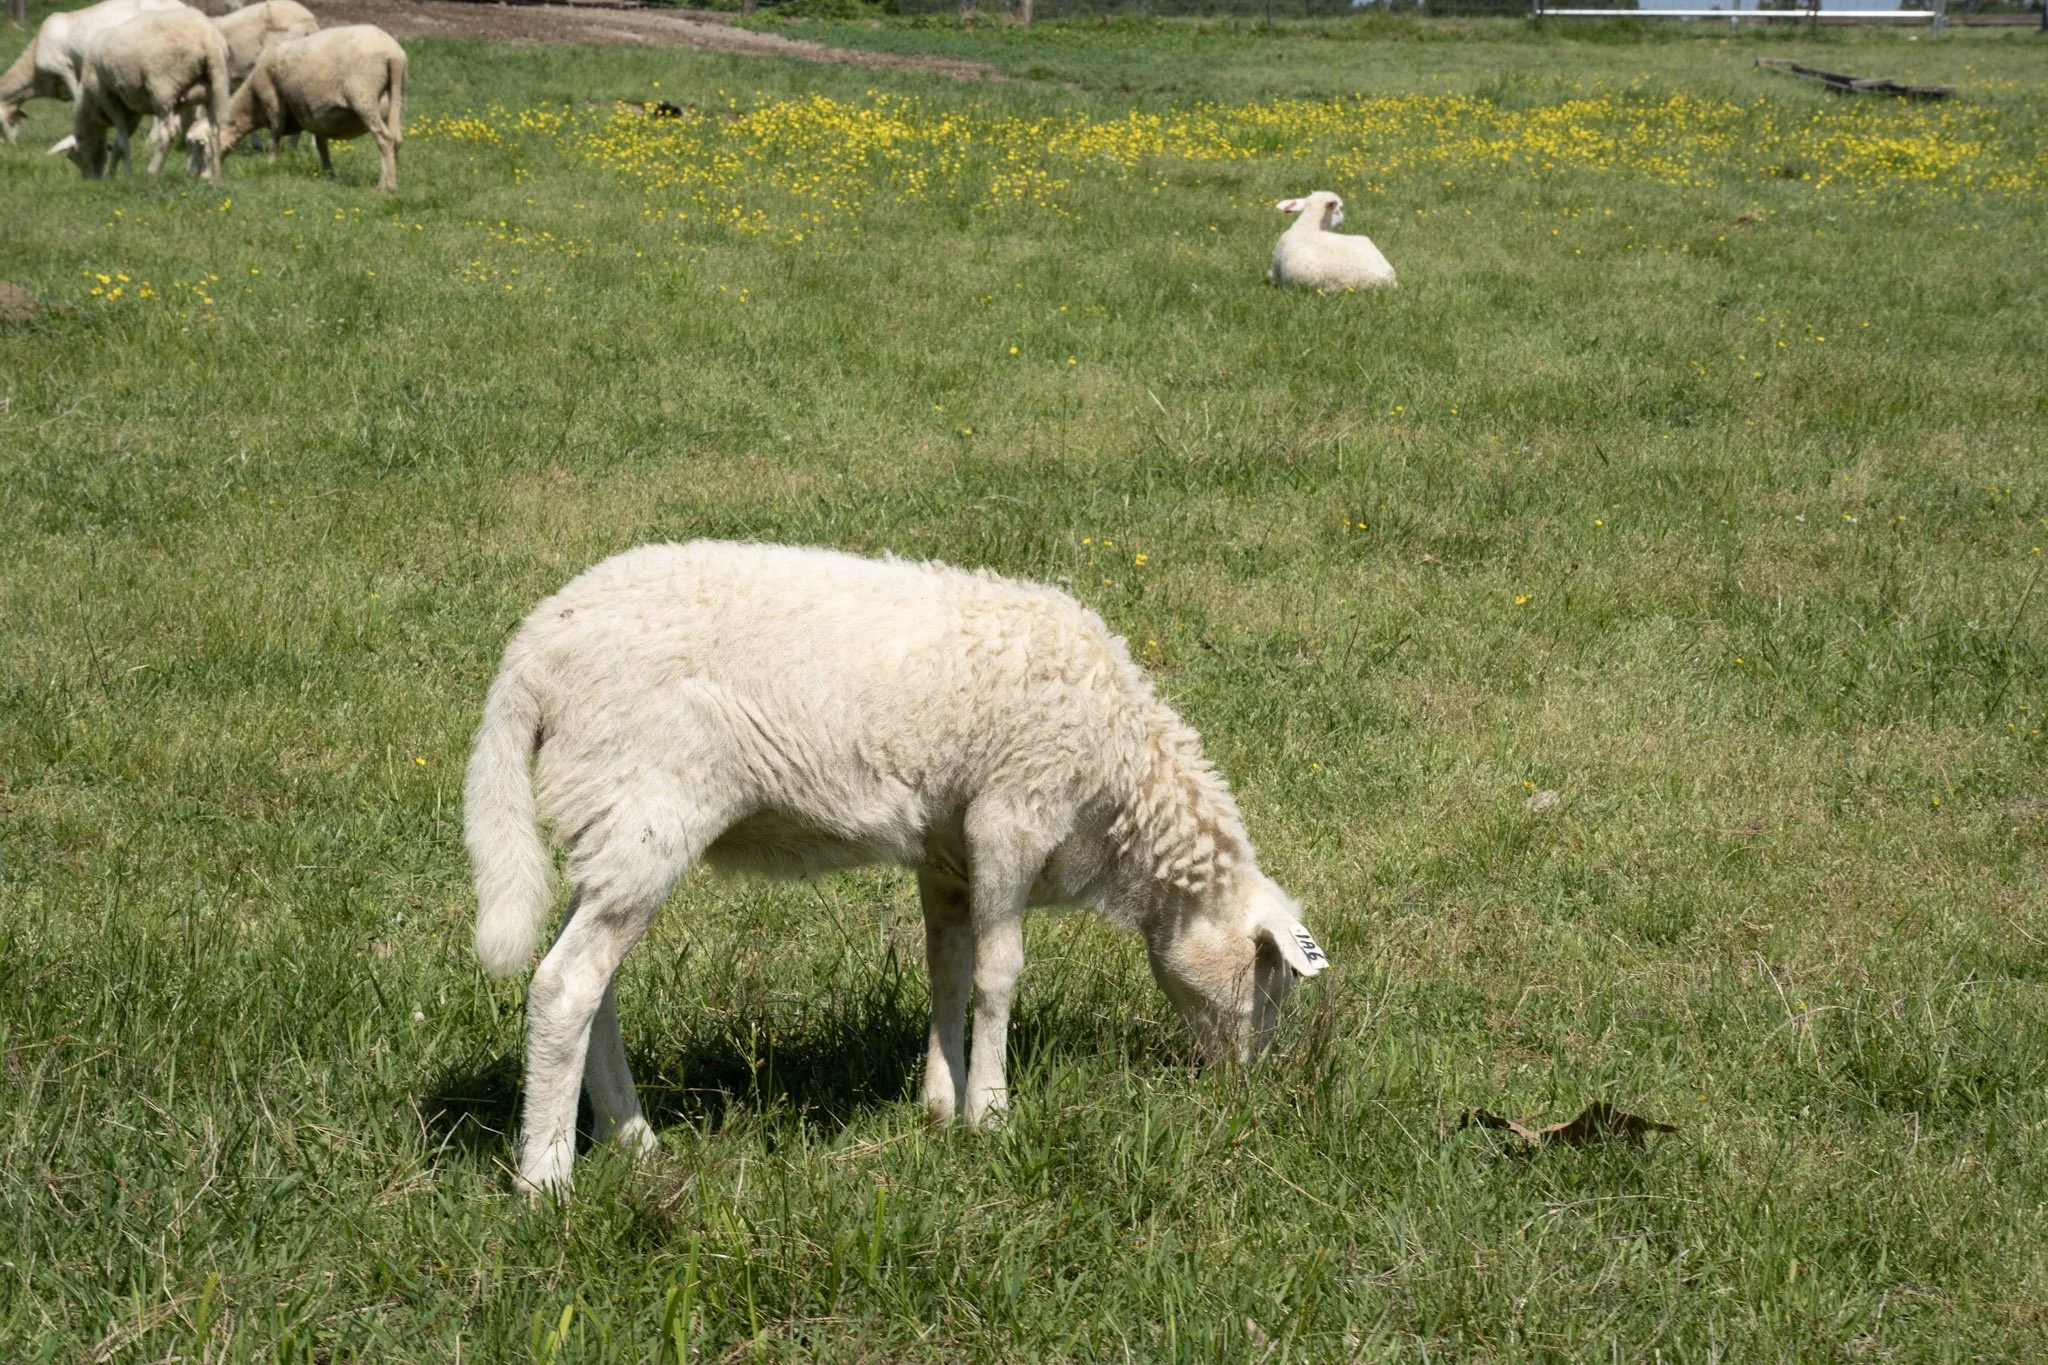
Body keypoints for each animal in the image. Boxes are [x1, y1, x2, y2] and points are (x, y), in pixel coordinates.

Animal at [67, 6, 229, 182]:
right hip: (211, 89)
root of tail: (208, 37)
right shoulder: (132, 110)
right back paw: (216, 178)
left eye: (75, 157)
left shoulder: (107, 97)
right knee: (214, 130)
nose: (91, 181)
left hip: (163, 87)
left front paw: (127, 174)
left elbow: (122, 141)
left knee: (168, 133)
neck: (91, 106)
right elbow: (120, 142)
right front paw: (112, 174)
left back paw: (152, 174)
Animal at [210, 25, 404, 193]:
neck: (252, 106)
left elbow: (274, 139)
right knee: (396, 139)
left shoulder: (273, 103)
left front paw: (271, 165)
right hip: (396, 100)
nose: (210, 177)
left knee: (384, 138)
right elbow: (320, 146)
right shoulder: (314, 115)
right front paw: (329, 174)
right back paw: (387, 181)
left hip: (363, 94)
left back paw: (388, 187)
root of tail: (394, 53)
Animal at [466, 541, 1330, 1198]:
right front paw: (991, 1112)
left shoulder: (947, 851)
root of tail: (531, 655)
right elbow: (999, 973)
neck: (1122, 794)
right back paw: (545, 1183)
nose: (1245, 1086)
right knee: (564, 986)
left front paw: (940, 1103)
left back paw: (633, 1138)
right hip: (648, 808)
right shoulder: (1012, 813)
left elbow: (946, 970)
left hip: (608, 824)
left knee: (593, 985)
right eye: (1271, 981)